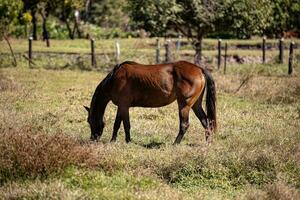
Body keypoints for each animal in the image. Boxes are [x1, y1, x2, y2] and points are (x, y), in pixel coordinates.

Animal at [84, 60, 216, 145]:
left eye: (90, 121)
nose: (93, 139)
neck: (114, 79)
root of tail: (199, 69)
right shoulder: (122, 106)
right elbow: (118, 124)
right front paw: (116, 140)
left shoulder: (123, 105)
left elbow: (124, 124)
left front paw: (125, 141)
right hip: (196, 105)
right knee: (206, 122)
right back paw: (208, 143)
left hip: (184, 105)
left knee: (184, 125)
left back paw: (175, 143)